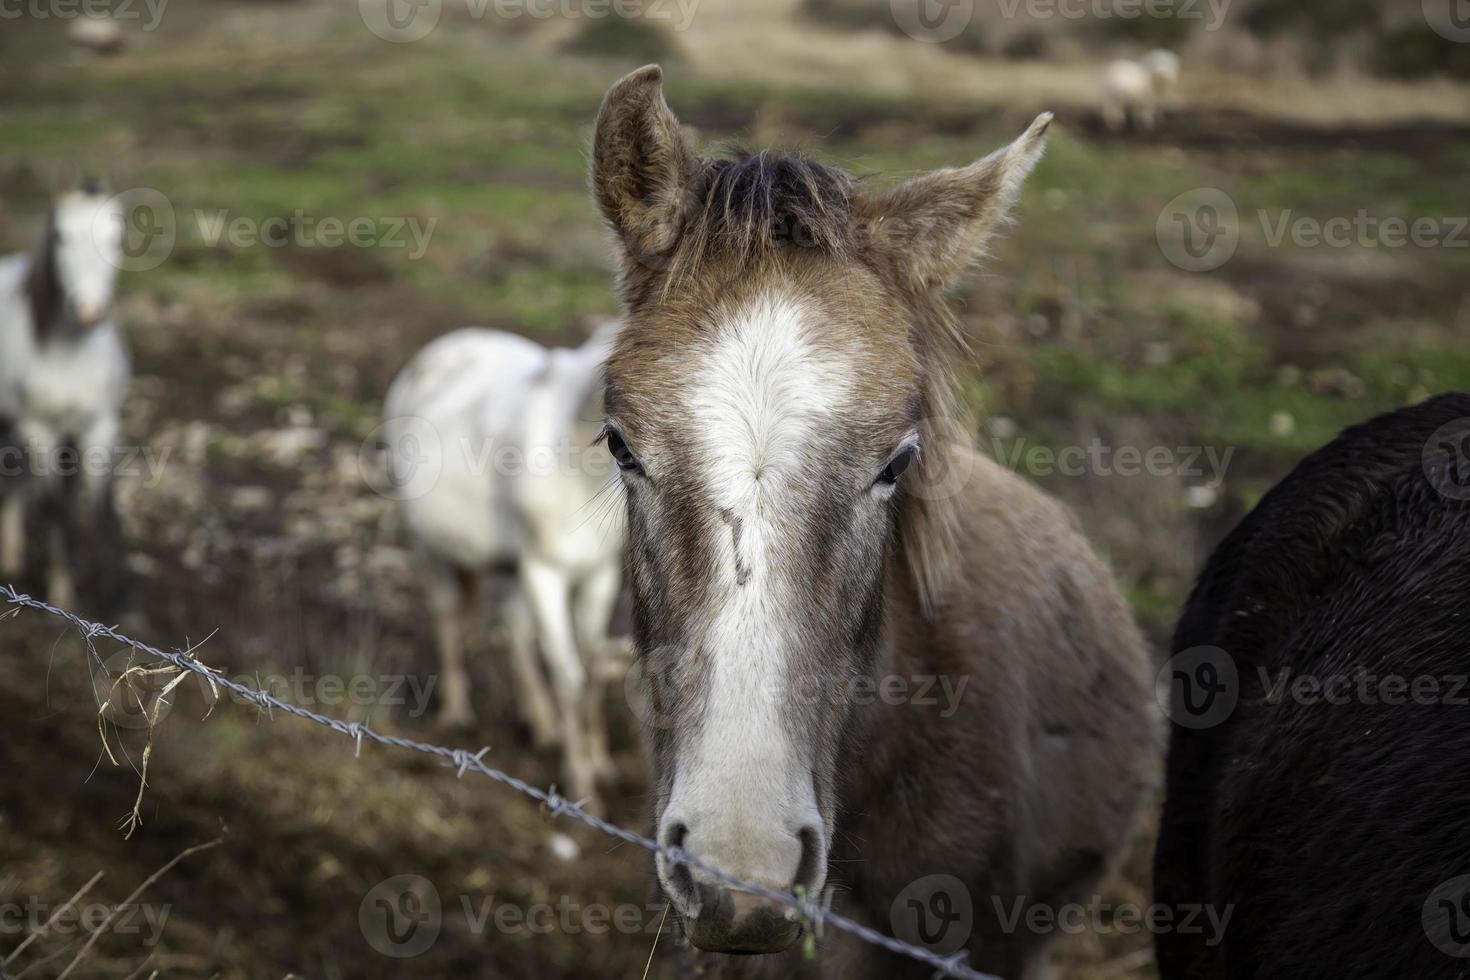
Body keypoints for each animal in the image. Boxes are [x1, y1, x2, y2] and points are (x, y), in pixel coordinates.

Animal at [0, 183, 133, 614]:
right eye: (60, 236)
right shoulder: (41, 427)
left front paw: (121, 599)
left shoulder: (101, 424)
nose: (89, 311)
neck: (71, 352)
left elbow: (102, 512)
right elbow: (56, 509)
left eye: (116, 237)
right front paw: (62, 589)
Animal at [382, 320, 623, 811]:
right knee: (447, 614)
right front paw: (582, 788)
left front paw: (601, 763)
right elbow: (569, 677)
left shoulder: (599, 576)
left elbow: (592, 671)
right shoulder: (545, 574)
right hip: (430, 549)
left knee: (513, 629)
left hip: (509, 568)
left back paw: (542, 724)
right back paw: (457, 713)